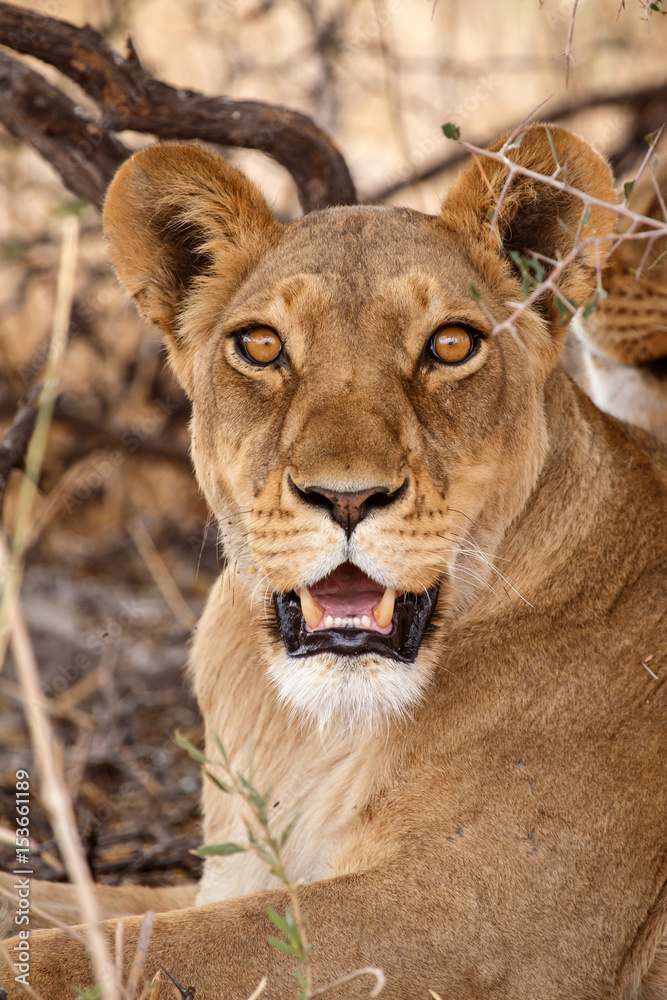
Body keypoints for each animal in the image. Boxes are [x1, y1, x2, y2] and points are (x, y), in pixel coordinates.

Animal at [2, 124, 666, 1000]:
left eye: (450, 344)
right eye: (261, 346)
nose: (345, 498)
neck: (310, 729)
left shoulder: (478, 925)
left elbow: (105, 950)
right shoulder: (233, 873)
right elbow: (68, 912)